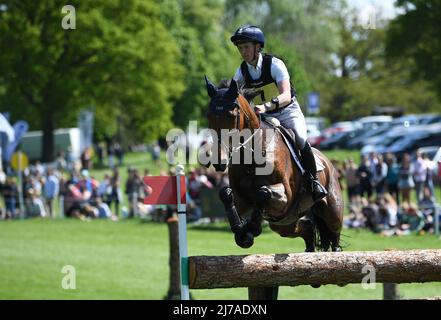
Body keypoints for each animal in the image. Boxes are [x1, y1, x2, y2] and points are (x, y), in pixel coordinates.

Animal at [204, 77, 344, 252]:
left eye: (232, 115)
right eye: (209, 116)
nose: (219, 161)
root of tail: (327, 162)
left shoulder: (286, 195)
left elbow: (263, 192)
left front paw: (252, 228)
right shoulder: (242, 198)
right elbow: (225, 193)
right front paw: (241, 231)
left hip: (332, 211)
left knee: (334, 235)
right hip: (284, 224)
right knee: (306, 228)